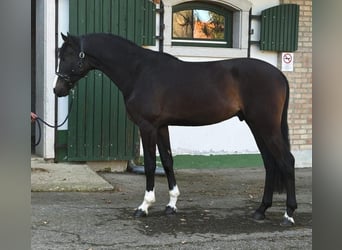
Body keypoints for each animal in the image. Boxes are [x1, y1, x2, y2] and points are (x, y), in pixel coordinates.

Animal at [54, 32, 296, 226]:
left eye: (67, 56)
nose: (58, 90)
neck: (139, 71)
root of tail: (280, 75)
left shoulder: (148, 127)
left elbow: (151, 164)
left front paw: (144, 206)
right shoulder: (162, 127)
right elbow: (168, 161)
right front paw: (171, 205)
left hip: (266, 127)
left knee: (286, 161)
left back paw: (288, 215)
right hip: (257, 126)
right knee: (270, 164)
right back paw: (261, 210)